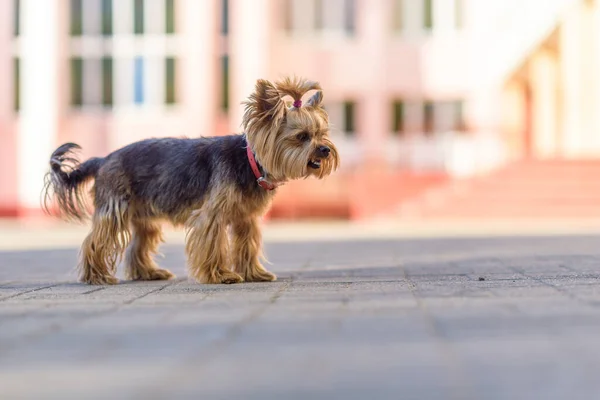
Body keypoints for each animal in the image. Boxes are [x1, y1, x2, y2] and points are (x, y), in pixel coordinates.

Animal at [41, 76, 340, 284]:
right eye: (302, 137)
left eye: (322, 134)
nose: (325, 150)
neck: (250, 162)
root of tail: (103, 159)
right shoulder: (212, 215)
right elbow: (213, 242)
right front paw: (221, 275)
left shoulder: (246, 218)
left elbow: (247, 245)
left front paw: (254, 273)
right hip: (116, 206)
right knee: (97, 240)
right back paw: (96, 276)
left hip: (144, 215)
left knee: (140, 243)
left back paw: (148, 273)